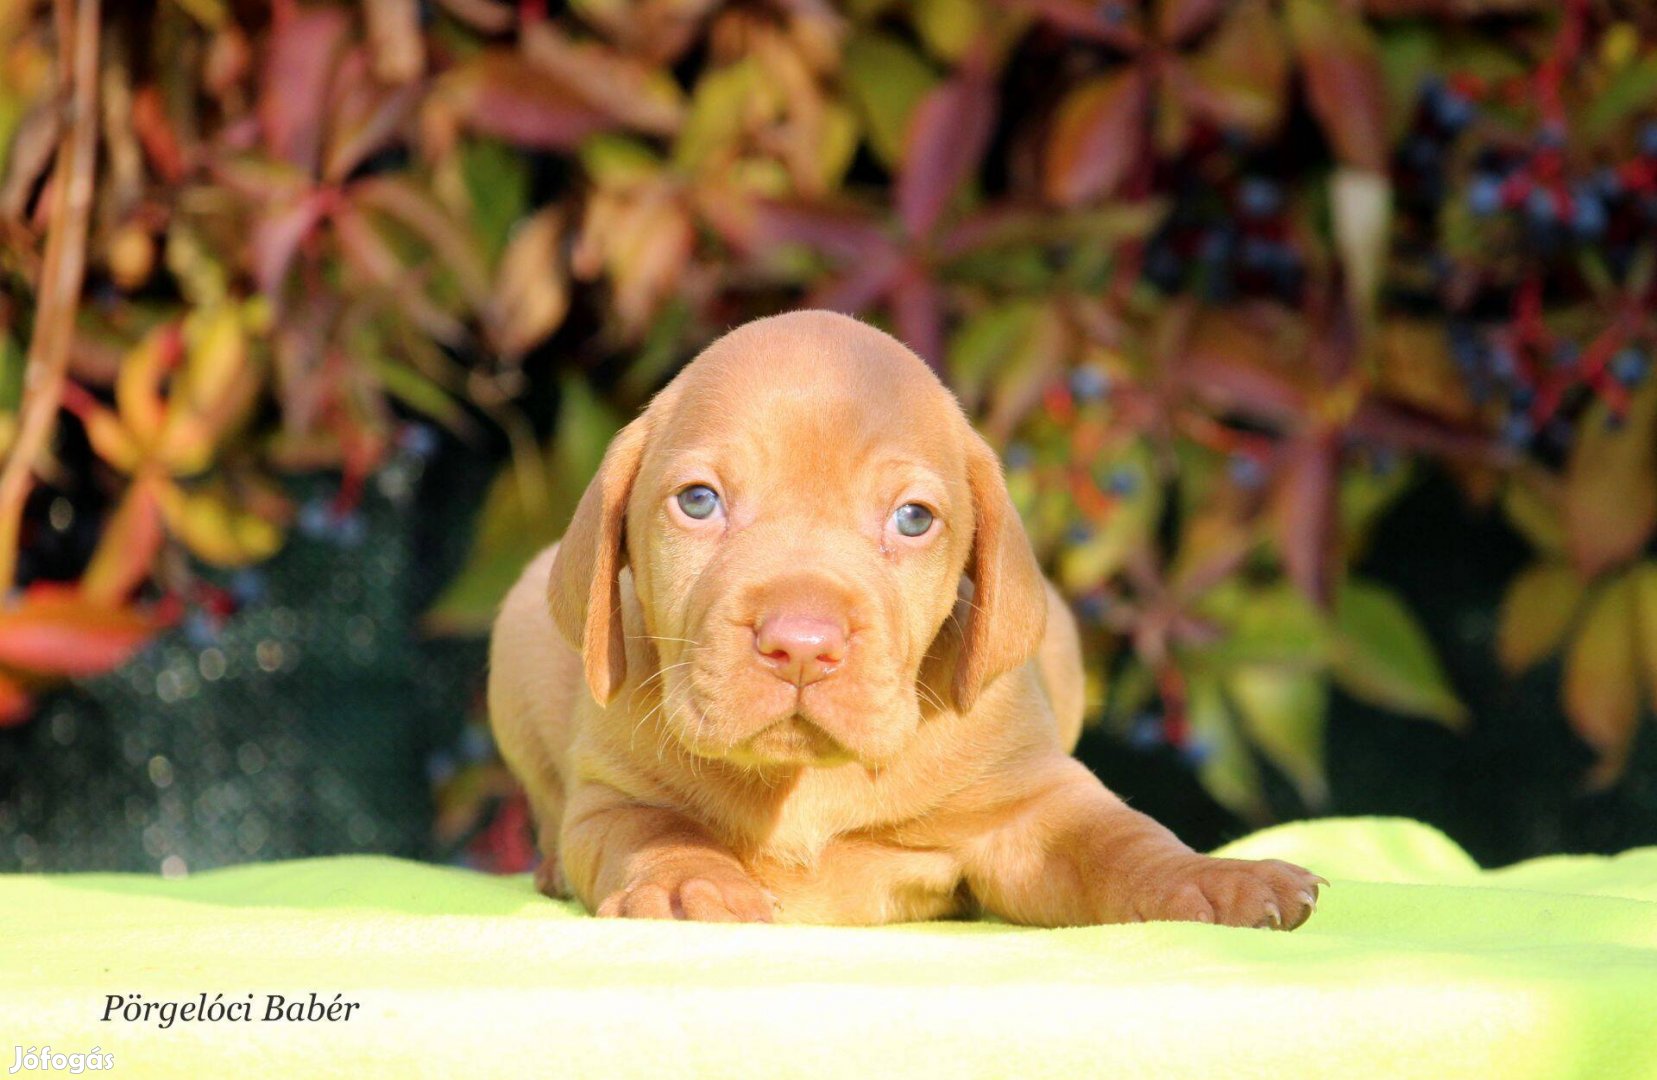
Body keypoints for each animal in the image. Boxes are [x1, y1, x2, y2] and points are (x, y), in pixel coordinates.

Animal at [483, 311, 1325, 927]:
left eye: (913, 519)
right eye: (698, 501)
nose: (801, 646)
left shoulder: (1034, 807)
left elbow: (1120, 841)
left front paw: (1215, 878)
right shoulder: (612, 801)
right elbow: (657, 832)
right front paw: (690, 884)